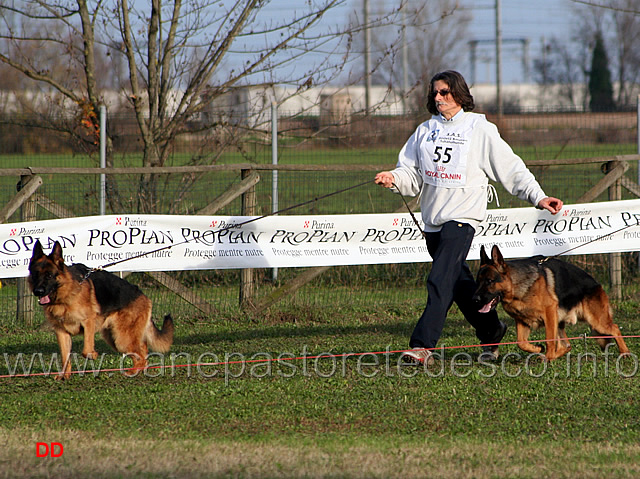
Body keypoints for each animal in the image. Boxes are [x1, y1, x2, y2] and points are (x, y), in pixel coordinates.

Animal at [28, 242, 174, 380]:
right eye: (36, 275)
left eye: (49, 275)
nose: (38, 291)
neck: (65, 295)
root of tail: (144, 296)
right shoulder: (61, 332)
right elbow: (65, 357)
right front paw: (65, 376)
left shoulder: (88, 322)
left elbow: (86, 350)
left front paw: (93, 355)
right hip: (115, 338)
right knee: (143, 352)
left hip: (121, 339)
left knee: (141, 356)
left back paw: (132, 372)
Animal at [472, 246, 628, 362]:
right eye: (478, 282)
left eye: (489, 281)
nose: (475, 299)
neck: (516, 286)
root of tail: (597, 284)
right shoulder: (522, 320)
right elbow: (521, 342)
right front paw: (538, 349)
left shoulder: (549, 313)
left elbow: (549, 340)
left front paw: (547, 355)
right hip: (561, 321)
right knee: (567, 345)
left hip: (595, 321)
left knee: (615, 329)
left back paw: (625, 353)